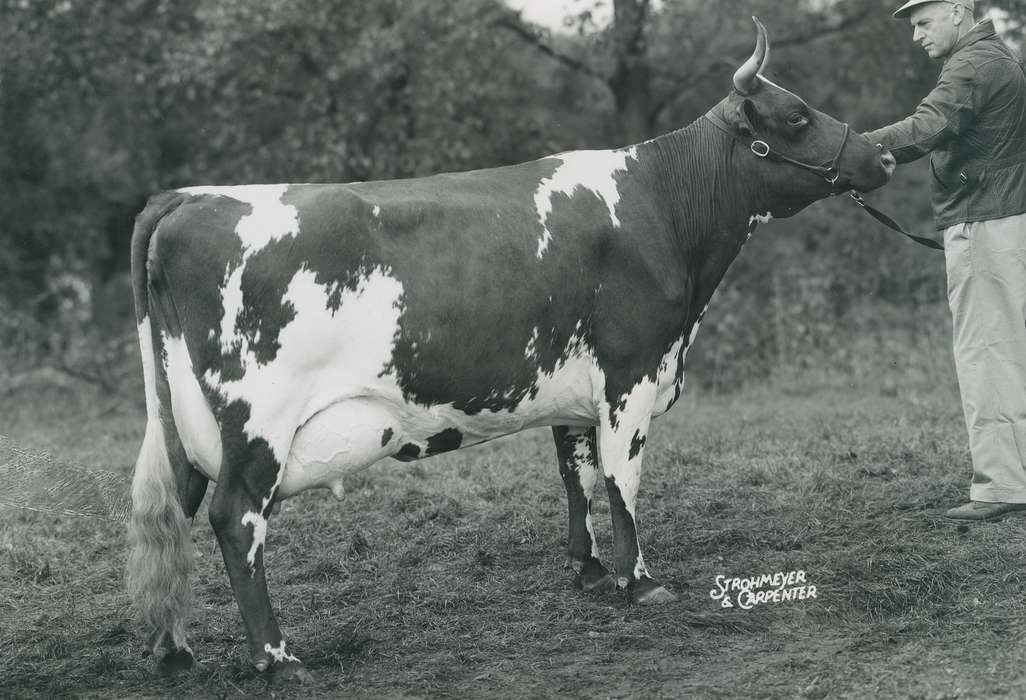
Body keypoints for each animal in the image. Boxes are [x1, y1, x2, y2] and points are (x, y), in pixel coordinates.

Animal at [127, 19, 894, 682]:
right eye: (795, 117)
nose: (883, 154)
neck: (661, 206)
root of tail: (186, 198)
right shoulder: (632, 371)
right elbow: (622, 477)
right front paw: (640, 582)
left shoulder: (575, 386)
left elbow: (576, 474)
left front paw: (589, 570)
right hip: (259, 420)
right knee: (234, 518)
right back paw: (278, 658)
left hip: (182, 422)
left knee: (173, 511)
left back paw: (173, 648)